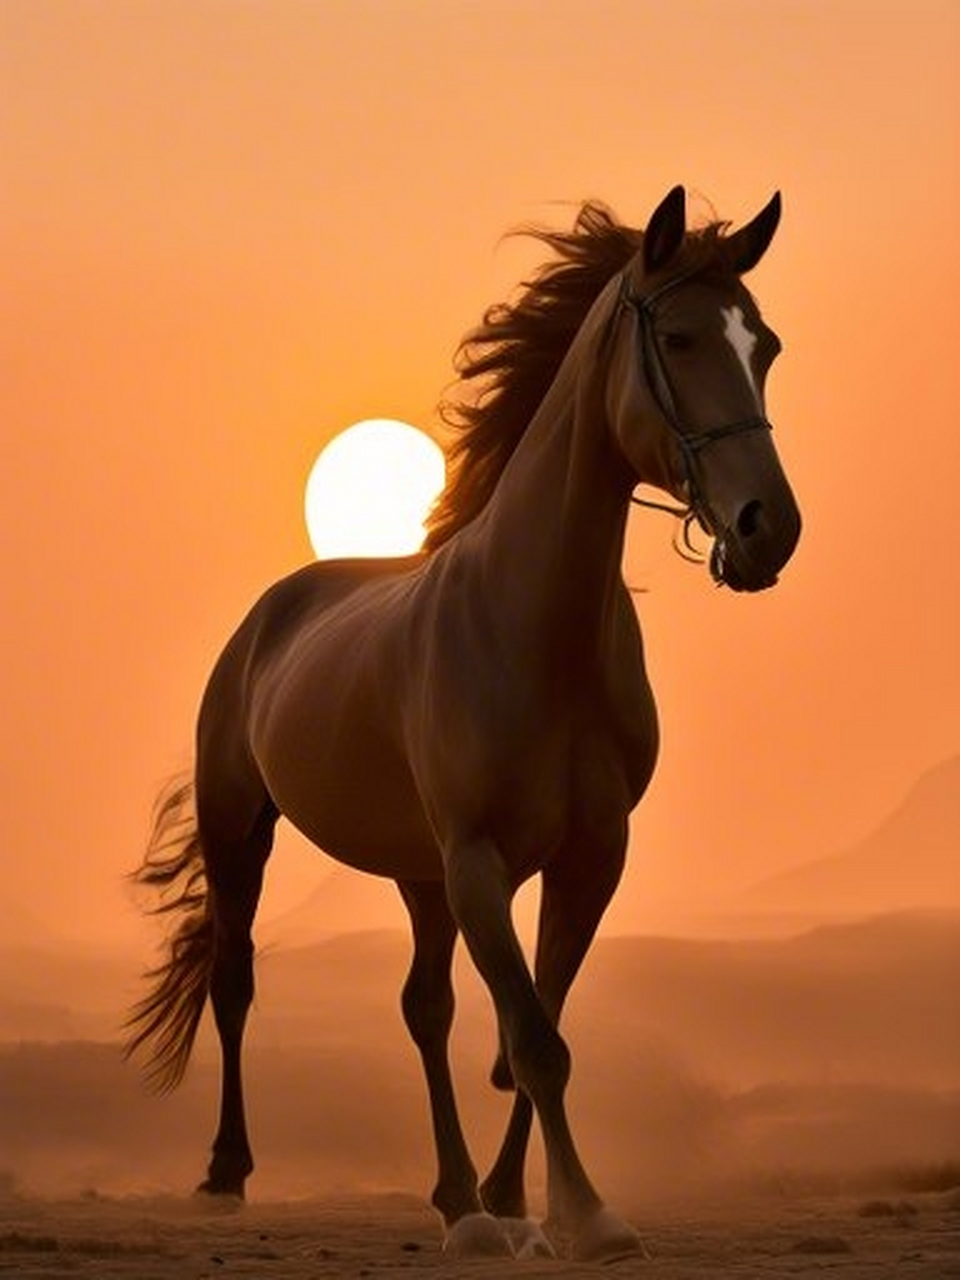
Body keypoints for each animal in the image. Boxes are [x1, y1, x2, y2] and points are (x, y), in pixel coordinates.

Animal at [126, 186, 801, 1261]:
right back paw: (227, 1173)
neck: (536, 630)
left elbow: (536, 1022)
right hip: (246, 836)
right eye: (682, 337)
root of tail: (271, 612)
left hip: (419, 876)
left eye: (764, 344)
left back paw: (458, 1199)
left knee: (426, 1008)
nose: (766, 527)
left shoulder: (587, 859)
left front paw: (519, 1198)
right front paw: (589, 1214)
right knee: (234, 983)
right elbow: (532, 1038)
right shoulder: (479, 861)